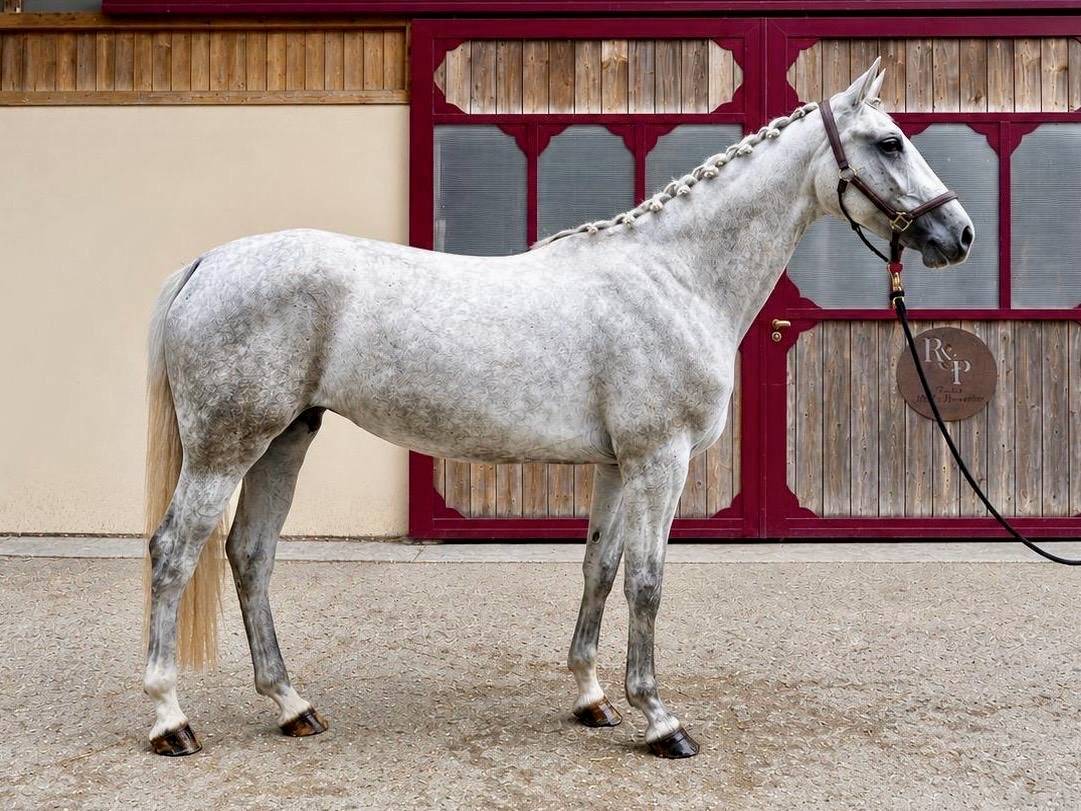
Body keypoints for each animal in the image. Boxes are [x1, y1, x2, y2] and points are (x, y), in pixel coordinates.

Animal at [142, 60, 974, 759]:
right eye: (890, 141)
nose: (958, 233)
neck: (674, 276)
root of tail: (208, 263)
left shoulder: (615, 466)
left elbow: (598, 569)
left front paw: (592, 699)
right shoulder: (658, 460)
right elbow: (646, 581)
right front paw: (660, 720)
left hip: (285, 437)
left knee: (250, 554)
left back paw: (292, 705)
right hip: (226, 447)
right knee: (174, 551)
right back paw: (170, 719)